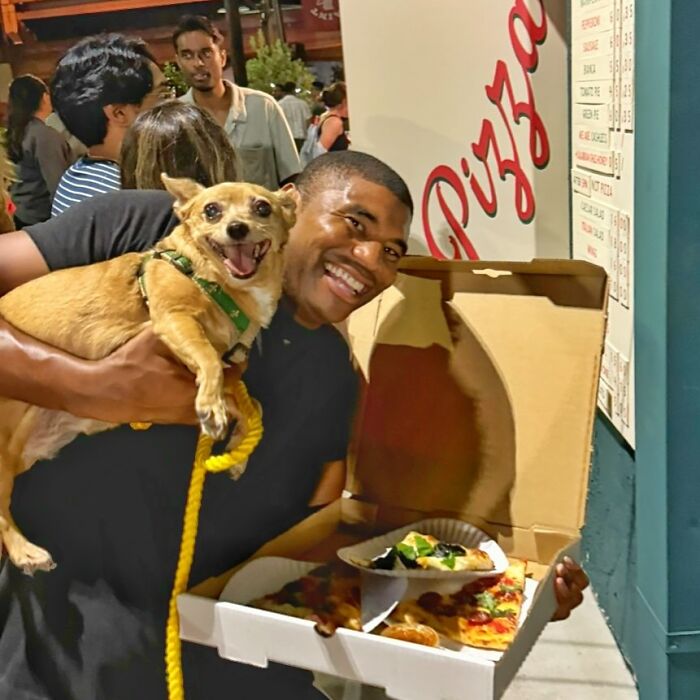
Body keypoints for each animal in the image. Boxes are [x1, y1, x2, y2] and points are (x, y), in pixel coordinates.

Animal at [0, 175, 292, 576]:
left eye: (262, 208)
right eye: (211, 211)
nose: (237, 228)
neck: (221, 285)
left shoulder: (221, 375)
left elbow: (253, 404)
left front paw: (237, 450)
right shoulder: (175, 322)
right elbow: (210, 362)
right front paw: (215, 412)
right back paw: (24, 551)